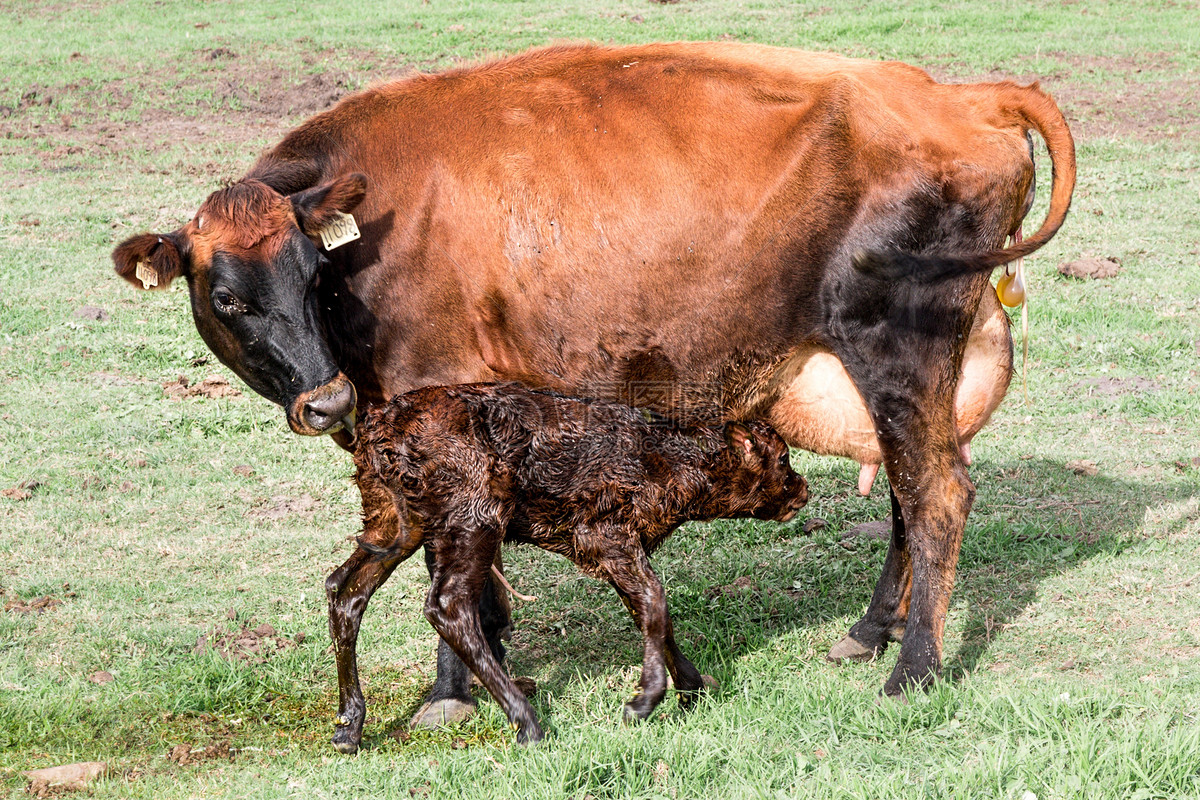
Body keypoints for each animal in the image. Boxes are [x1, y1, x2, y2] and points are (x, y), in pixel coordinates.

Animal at [328, 383, 806, 753]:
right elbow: (655, 602)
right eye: (783, 458)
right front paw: (644, 701)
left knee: (344, 588)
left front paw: (691, 688)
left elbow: (651, 610)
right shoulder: (605, 532)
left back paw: (348, 727)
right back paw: (528, 724)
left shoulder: (623, 547)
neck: (669, 465)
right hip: (473, 513)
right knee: (447, 604)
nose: (803, 488)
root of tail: (380, 428)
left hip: (391, 520)